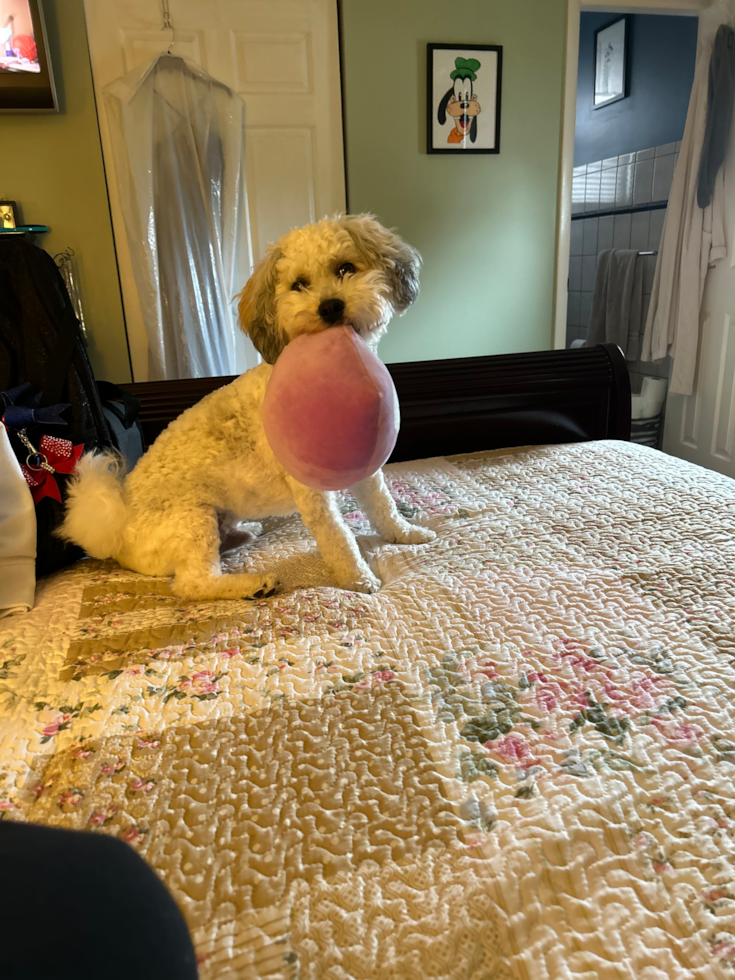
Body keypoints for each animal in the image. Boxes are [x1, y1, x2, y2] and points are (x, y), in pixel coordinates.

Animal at [61, 214, 436, 596]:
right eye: (299, 285)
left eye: (345, 268)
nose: (330, 306)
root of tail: (117, 531)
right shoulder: (312, 491)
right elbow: (338, 536)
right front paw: (359, 578)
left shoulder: (366, 467)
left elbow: (383, 505)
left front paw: (407, 534)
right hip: (192, 519)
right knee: (194, 584)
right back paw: (254, 584)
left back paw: (244, 534)